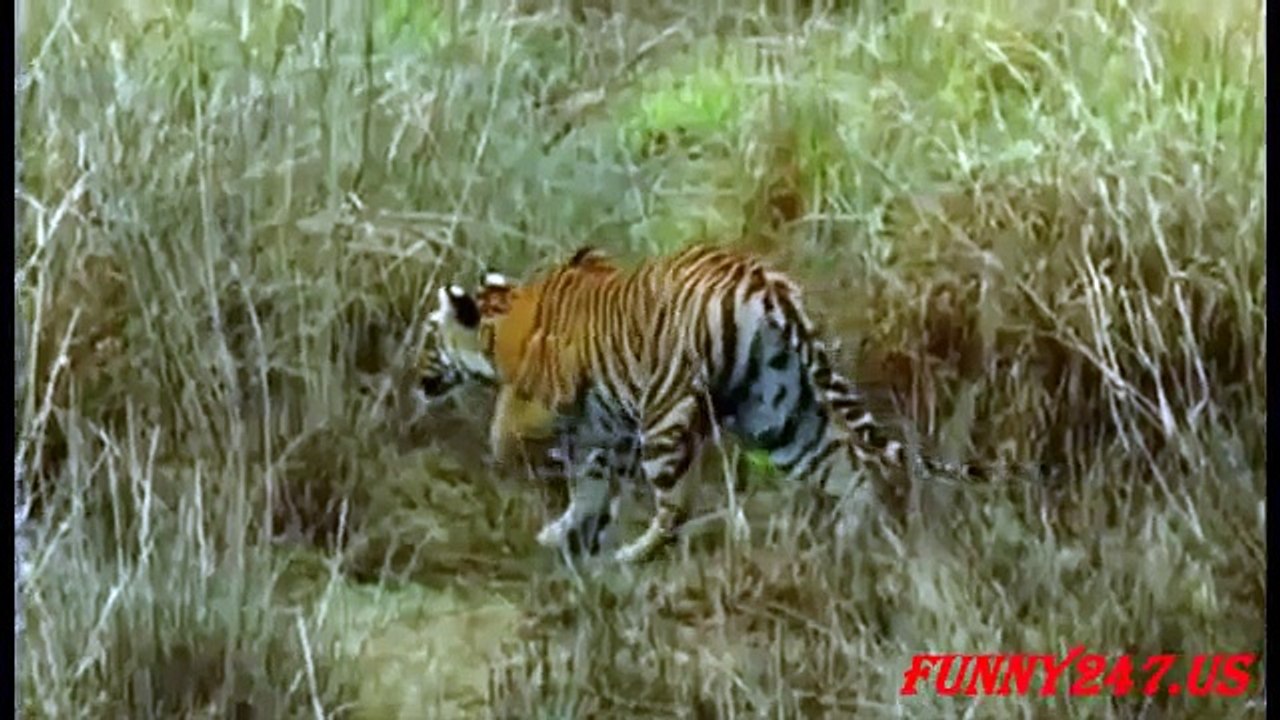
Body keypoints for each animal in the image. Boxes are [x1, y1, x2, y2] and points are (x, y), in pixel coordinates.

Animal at [415, 244, 985, 563]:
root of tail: (765, 283)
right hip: (778, 413)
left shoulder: (550, 403)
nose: (415, 375)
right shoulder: (606, 430)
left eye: (428, 337)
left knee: (676, 505)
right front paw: (568, 532)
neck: (499, 323)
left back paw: (633, 555)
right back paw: (849, 541)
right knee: (847, 469)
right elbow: (591, 486)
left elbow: (511, 434)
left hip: (665, 414)